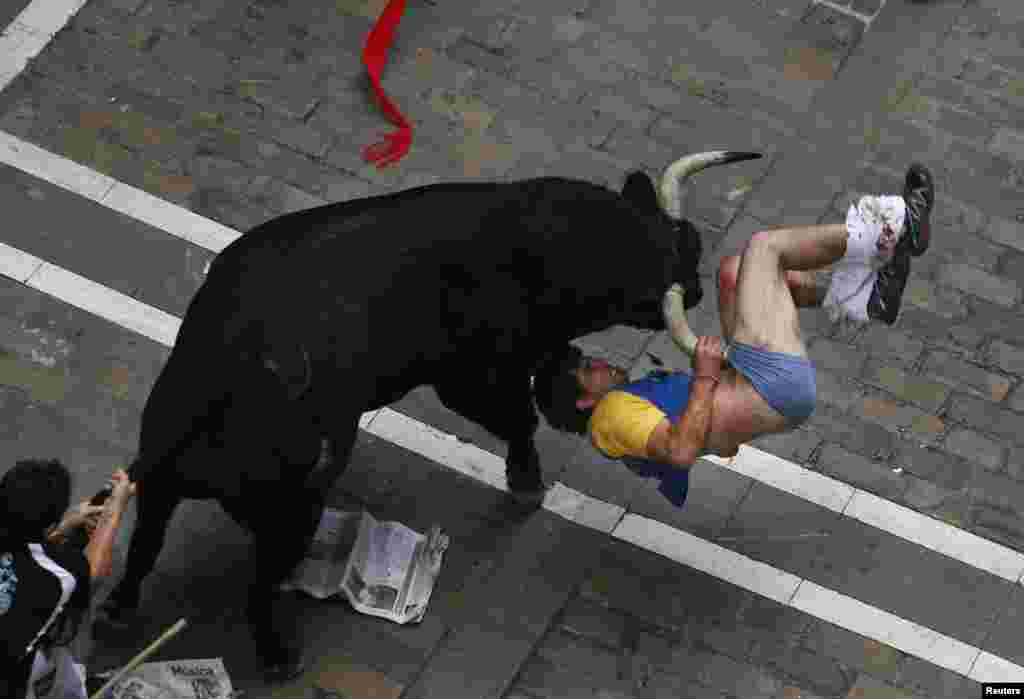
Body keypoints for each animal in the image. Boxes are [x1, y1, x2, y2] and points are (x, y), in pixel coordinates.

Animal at [99, 149, 761, 679]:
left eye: (689, 241)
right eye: (664, 267)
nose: (697, 289)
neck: (536, 247)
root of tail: (225, 376)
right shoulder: (469, 376)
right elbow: (517, 418)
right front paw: (527, 480)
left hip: (159, 477)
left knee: (143, 546)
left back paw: (117, 612)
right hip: (294, 507)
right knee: (258, 586)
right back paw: (278, 656)